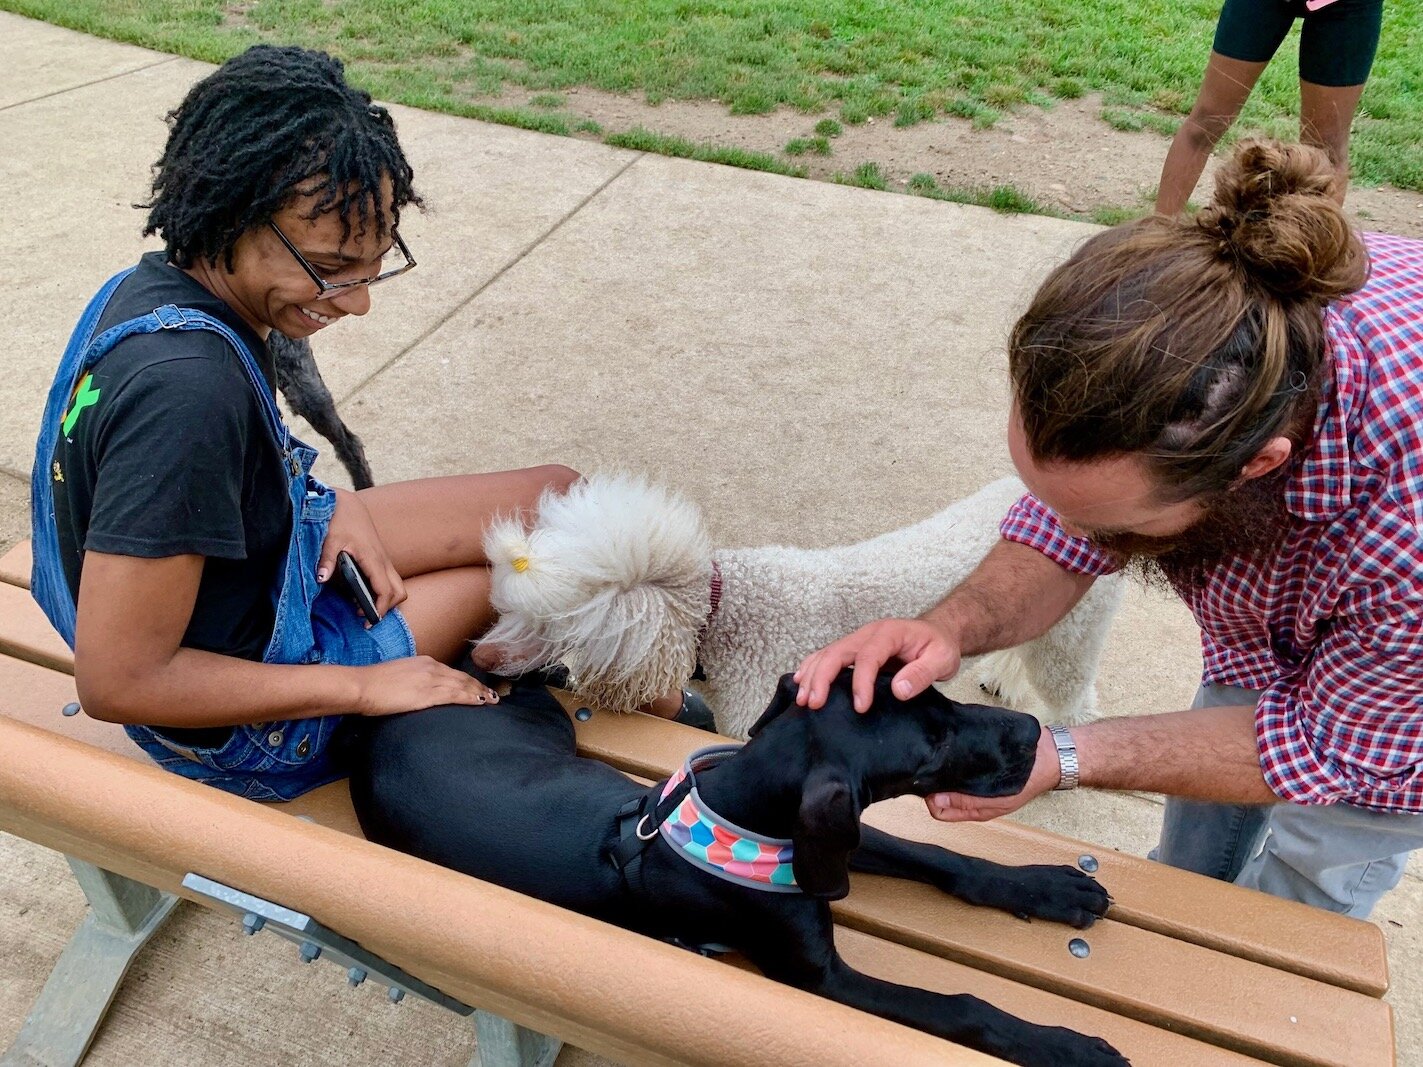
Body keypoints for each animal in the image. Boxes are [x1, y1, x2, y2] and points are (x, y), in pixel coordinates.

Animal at [350, 671, 1127, 1064]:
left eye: (939, 695)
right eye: (929, 747)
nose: (1031, 730)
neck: (744, 824)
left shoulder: (831, 841)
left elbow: (935, 854)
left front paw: (1045, 885)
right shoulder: (822, 978)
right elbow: (964, 1006)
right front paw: (1065, 1046)